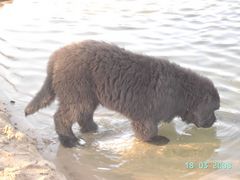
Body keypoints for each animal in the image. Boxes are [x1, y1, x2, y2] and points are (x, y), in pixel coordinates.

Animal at [24, 40, 219, 147]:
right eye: (214, 109)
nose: (215, 121)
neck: (181, 90)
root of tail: (56, 57)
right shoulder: (146, 114)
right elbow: (148, 129)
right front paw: (156, 140)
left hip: (89, 96)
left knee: (83, 115)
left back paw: (93, 129)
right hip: (77, 93)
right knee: (62, 117)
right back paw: (69, 141)